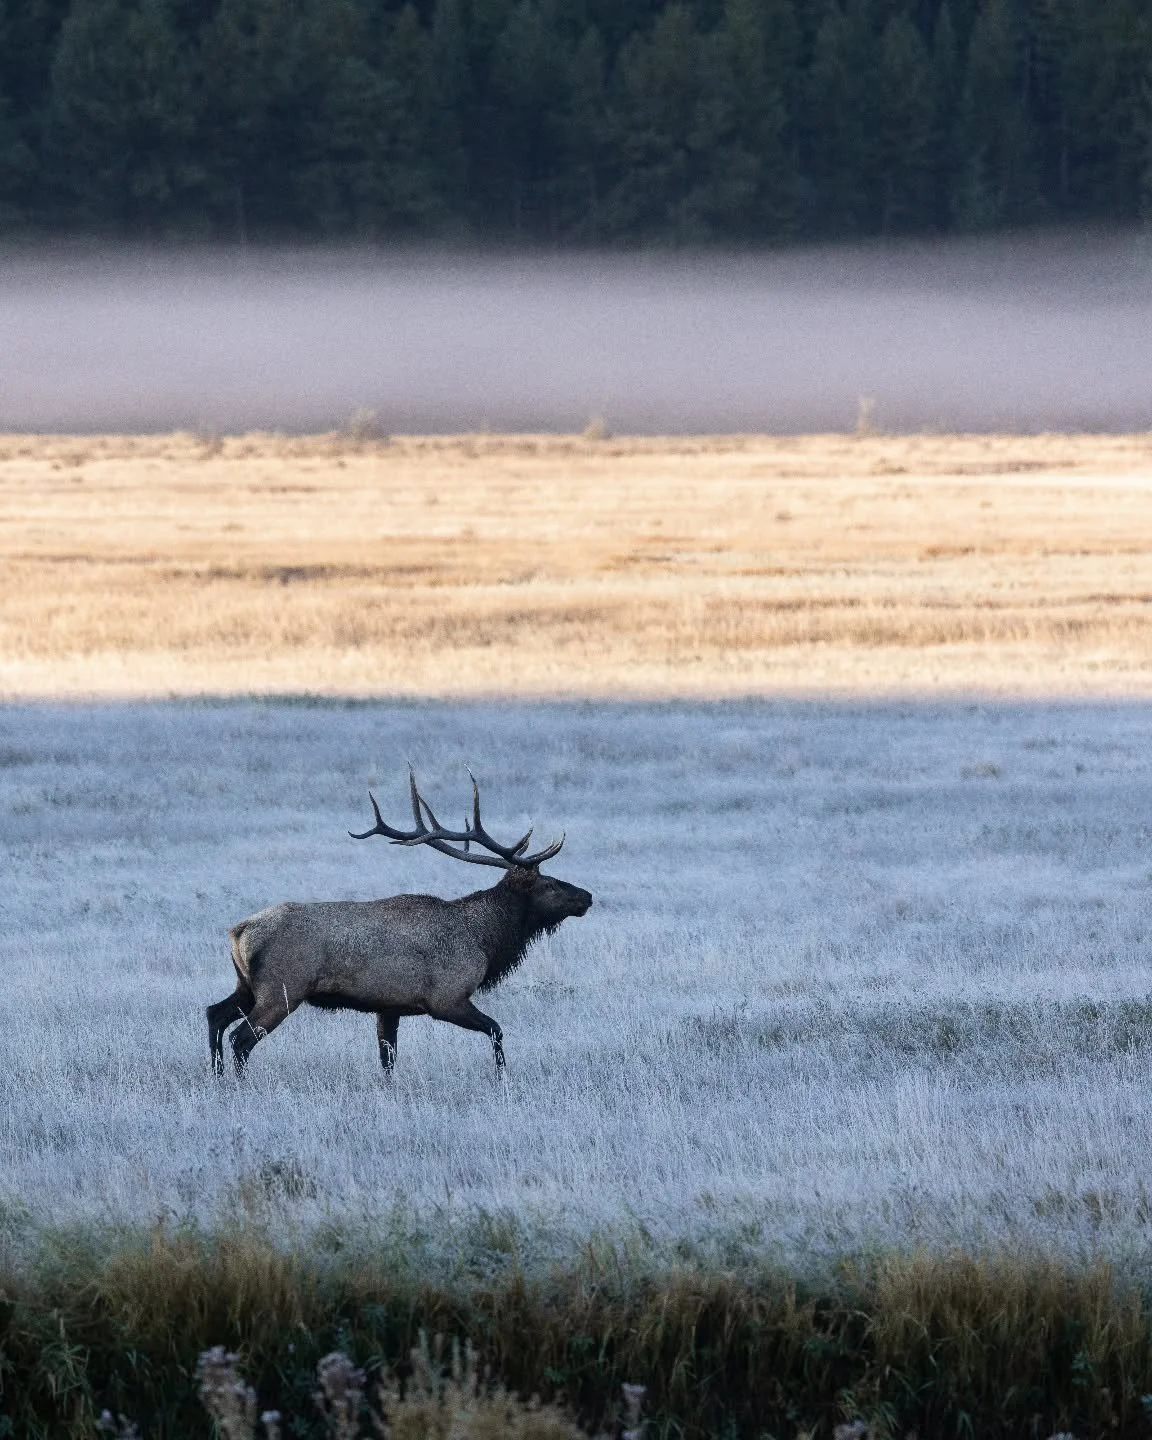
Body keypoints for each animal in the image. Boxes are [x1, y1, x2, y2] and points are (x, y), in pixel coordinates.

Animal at [206, 770, 592, 1079]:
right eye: (549, 884)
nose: (587, 896)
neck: (485, 940)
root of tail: (238, 932)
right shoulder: (447, 997)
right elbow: (496, 1030)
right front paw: (501, 1079)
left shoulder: (389, 1007)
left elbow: (388, 1062)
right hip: (282, 990)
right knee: (241, 1037)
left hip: (248, 986)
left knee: (214, 1014)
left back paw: (217, 1077)